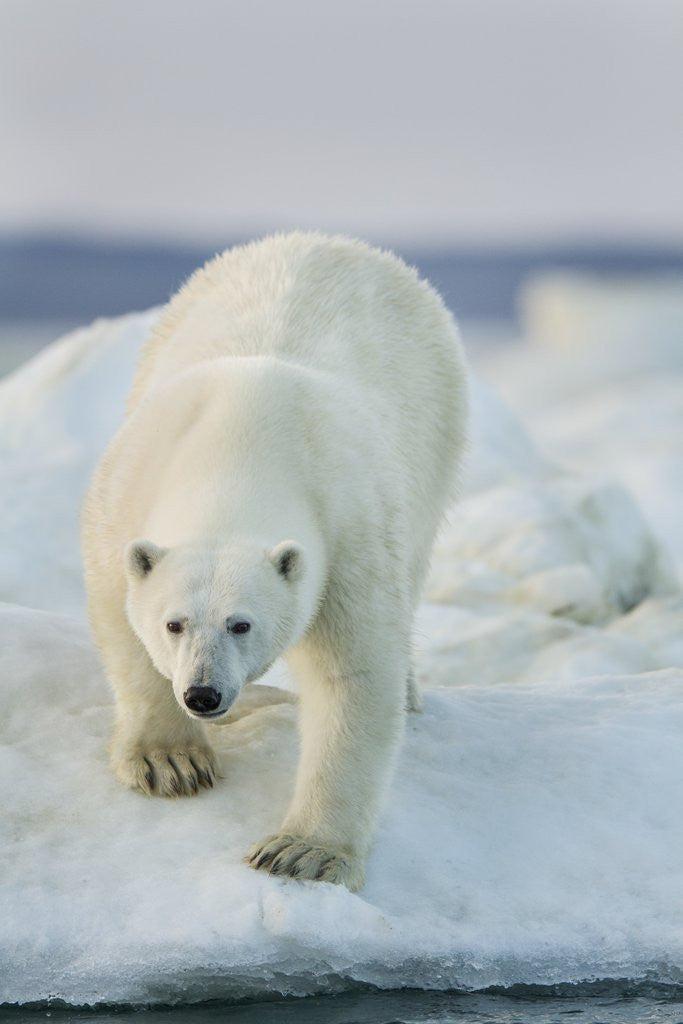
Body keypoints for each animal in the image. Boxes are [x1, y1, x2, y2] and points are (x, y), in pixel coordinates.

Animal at [82, 232, 468, 891]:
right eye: (174, 623)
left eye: (242, 624)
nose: (203, 694)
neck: (238, 445)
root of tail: (334, 241)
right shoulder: (123, 496)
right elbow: (120, 620)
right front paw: (171, 760)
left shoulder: (347, 529)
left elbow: (353, 676)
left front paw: (302, 851)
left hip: (435, 432)